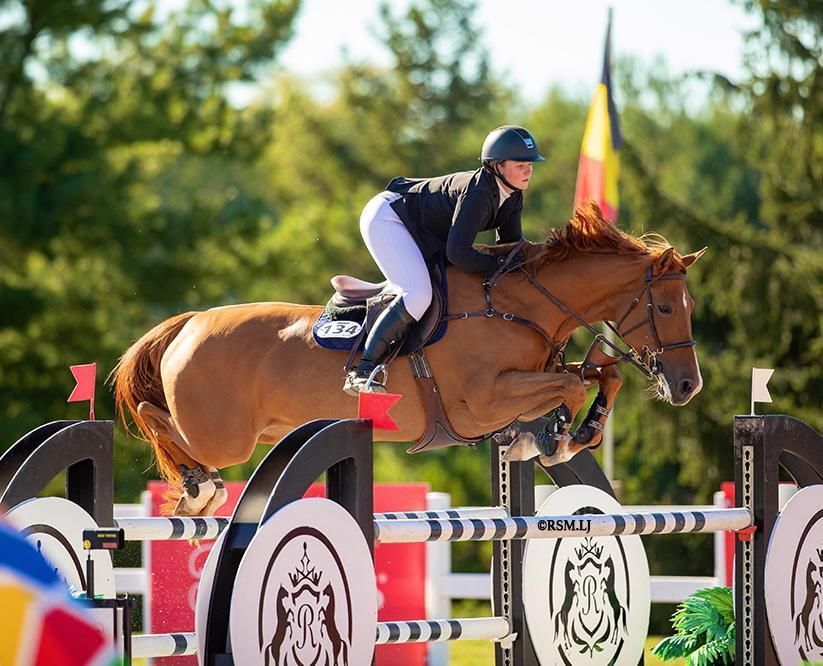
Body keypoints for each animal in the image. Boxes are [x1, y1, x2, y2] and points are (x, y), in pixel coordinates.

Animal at [112, 202, 705, 515]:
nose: (688, 387)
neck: (518, 305)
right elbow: (574, 386)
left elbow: (602, 376)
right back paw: (198, 487)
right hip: (224, 436)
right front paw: (555, 436)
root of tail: (190, 321)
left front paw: (571, 433)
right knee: (156, 419)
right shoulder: (481, 404)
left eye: (690, 306)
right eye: (664, 306)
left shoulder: (529, 379)